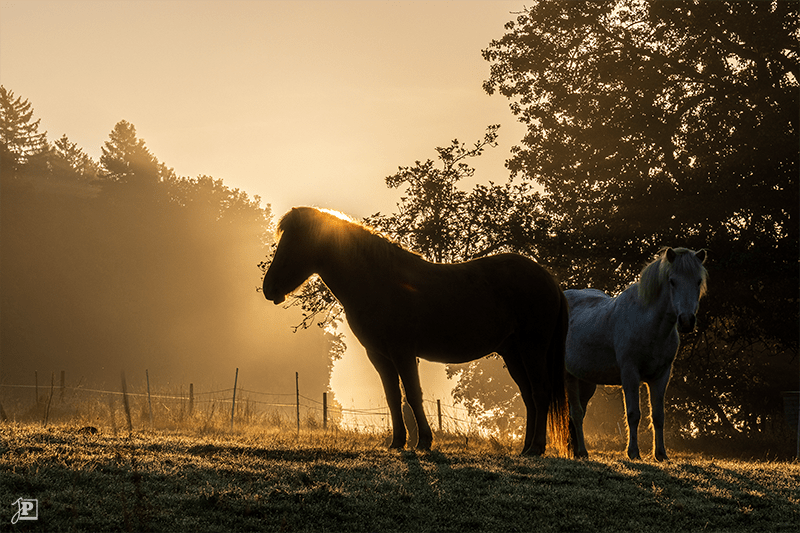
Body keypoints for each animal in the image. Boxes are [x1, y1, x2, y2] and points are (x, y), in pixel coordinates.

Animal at [262, 206, 568, 456]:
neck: (380, 282)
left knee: (540, 392)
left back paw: (536, 448)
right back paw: (526, 448)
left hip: (532, 349)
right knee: (529, 396)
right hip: (512, 352)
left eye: (292, 243)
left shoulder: (403, 352)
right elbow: (393, 397)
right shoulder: (379, 355)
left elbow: (412, 394)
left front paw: (424, 441)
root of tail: (548, 279)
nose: (269, 288)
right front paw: (398, 442)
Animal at [564, 247, 708, 460]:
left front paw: (661, 454)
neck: (648, 324)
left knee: (577, 413)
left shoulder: (661, 376)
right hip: (568, 377)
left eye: (698, 281)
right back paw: (581, 451)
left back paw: (576, 450)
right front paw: (633, 452)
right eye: (672, 281)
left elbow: (658, 416)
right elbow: (633, 414)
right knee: (576, 413)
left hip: (586, 381)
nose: (686, 321)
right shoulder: (630, 373)